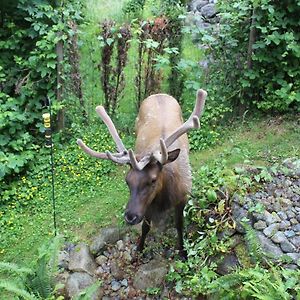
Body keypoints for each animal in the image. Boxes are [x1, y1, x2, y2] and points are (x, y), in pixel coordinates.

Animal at [77, 88, 206, 255]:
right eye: (127, 180)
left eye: (153, 179)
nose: (130, 217)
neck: (164, 199)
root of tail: (158, 94)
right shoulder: (148, 205)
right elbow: (145, 227)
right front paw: (139, 248)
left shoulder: (183, 196)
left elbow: (179, 225)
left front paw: (183, 252)